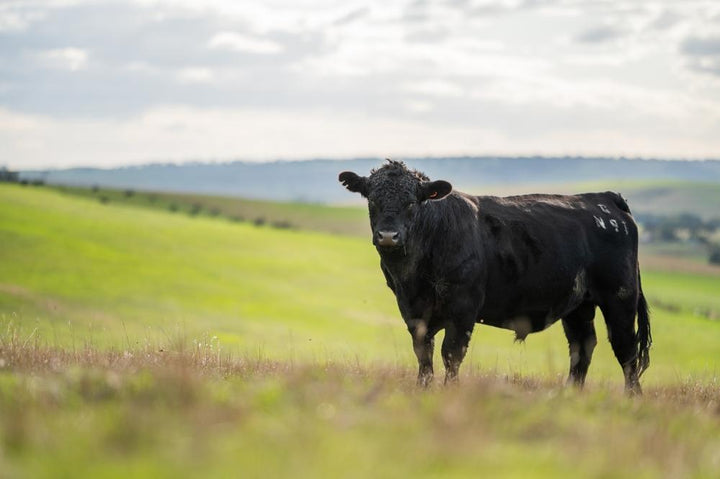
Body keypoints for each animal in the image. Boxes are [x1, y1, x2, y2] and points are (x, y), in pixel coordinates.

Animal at [339, 160, 651, 394]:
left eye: (412, 203)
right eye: (372, 200)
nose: (388, 236)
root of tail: (604, 198)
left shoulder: (463, 306)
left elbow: (451, 353)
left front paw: (449, 391)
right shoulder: (412, 309)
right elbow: (423, 352)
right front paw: (423, 388)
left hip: (620, 297)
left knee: (625, 348)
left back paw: (632, 397)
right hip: (579, 305)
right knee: (582, 346)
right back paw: (570, 394)